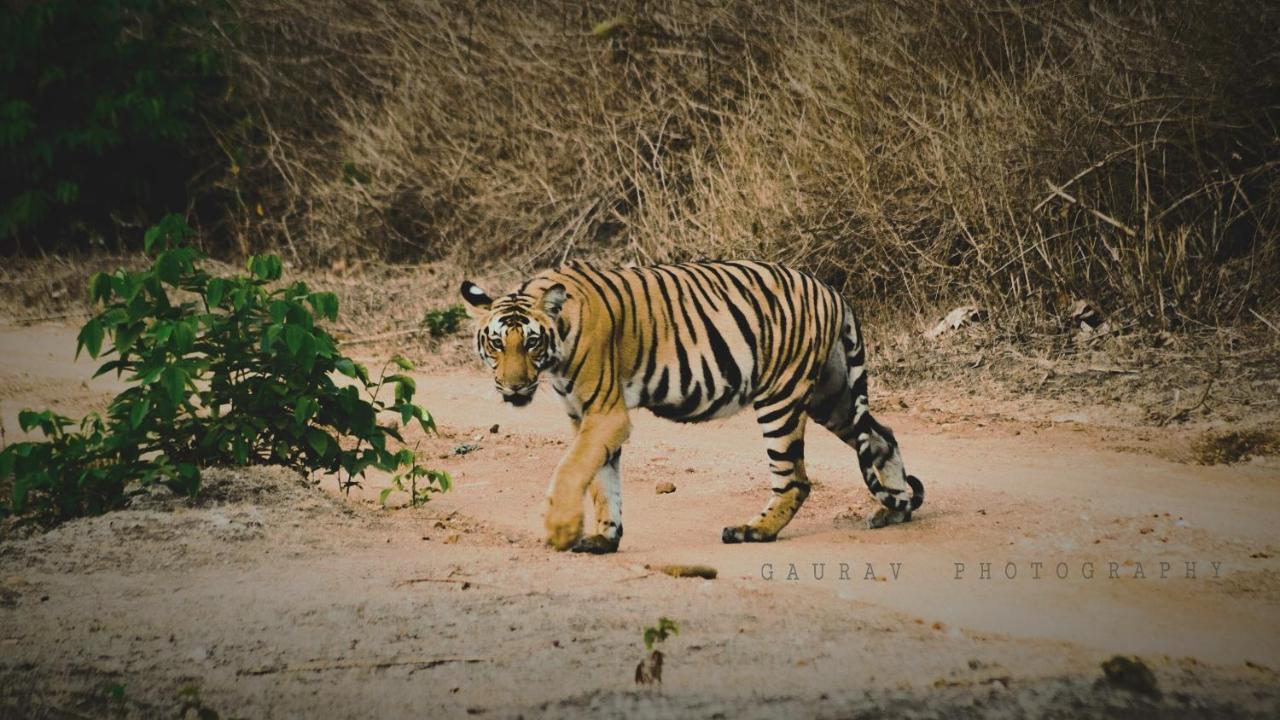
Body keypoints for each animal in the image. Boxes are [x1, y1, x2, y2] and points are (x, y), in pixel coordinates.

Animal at [460, 260, 921, 550]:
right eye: (497, 344)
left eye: (531, 343)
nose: (514, 387)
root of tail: (831, 291)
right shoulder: (585, 417)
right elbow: (601, 480)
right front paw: (605, 539)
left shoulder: (606, 414)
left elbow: (572, 470)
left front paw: (559, 530)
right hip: (833, 396)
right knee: (881, 436)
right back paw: (893, 509)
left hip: (782, 397)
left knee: (795, 479)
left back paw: (752, 531)